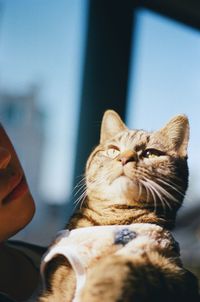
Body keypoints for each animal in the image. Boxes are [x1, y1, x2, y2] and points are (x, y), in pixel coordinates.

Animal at [38, 111, 200, 302]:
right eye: (113, 150)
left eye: (151, 153)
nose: (124, 158)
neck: (117, 220)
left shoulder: (172, 266)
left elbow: (126, 266)